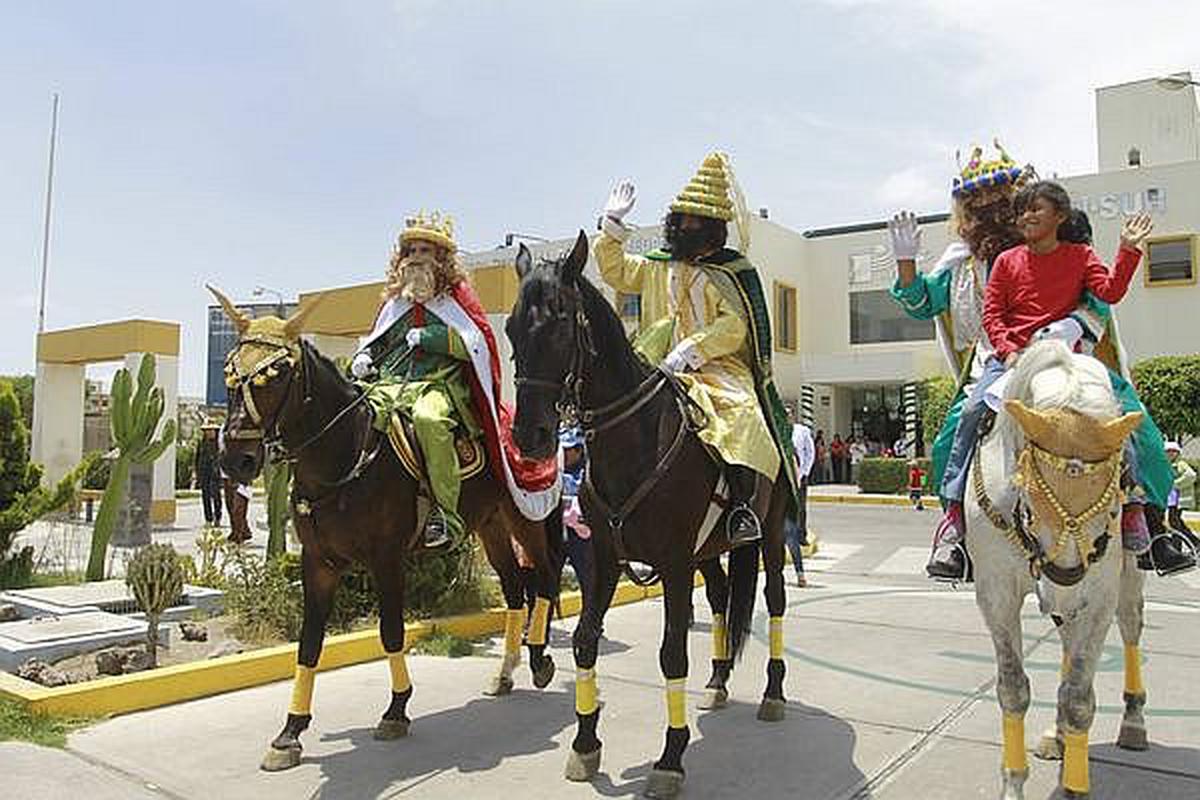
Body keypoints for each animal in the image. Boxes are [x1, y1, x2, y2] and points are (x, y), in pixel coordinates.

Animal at [211, 291, 566, 772]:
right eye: (230, 369)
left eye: (277, 373)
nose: (237, 460)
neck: (346, 455)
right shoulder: (318, 563)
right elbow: (309, 644)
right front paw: (289, 733)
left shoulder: (387, 559)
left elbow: (391, 632)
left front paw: (397, 710)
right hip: (490, 523)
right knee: (513, 587)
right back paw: (505, 671)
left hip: (524, 515)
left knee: (543, 578)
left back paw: (540, 660)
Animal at [504, 235, 792, 796]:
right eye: (510, 330)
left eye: (560, 324)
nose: (530, 437)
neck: (632, 440)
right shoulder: (604, 558)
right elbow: (586, 642)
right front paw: (584, 744)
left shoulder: (674, 563)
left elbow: (672, 653)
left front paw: (671, 757)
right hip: (709, 552)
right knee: (722, 596)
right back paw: (717, 680)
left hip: (767, 535)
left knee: (774, 600)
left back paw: (773, 693)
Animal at [964, 340, 1142, 800]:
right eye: (1028, 495)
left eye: (1111, 505)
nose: (1064, 585)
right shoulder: (996, 592)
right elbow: (1013, 688)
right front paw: (1014, 783)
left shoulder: (1097, 596)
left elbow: (1078, 697)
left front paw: (1073, 788)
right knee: (1065, 641)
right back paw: (1058, 737)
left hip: (1127, 578)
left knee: (1130, 628)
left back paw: (1134, 723)